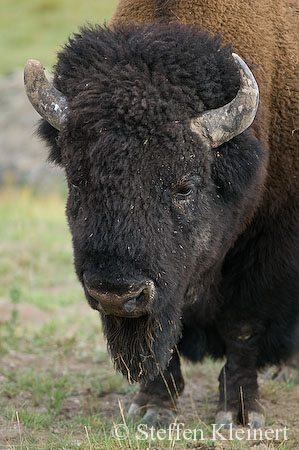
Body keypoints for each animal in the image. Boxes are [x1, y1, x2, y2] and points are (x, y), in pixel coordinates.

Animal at [24, 0, 298, 428]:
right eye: (77, 183)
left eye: (184, 186)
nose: (116, 293)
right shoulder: (166, 288)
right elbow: (164, 335)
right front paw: (154, 407)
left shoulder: (267, 248)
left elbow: (243, 325)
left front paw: (239, 412)